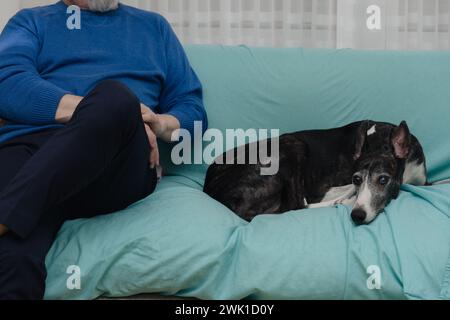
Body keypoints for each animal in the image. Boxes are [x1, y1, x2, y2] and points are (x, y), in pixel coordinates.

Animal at [205, 120, 428, 225]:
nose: (358, 214)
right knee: (297, 204)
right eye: (356, 178)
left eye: (383, 180)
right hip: (291, 143)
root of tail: (212, 190)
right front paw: (345, 199)